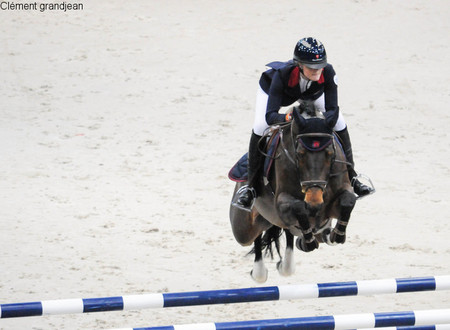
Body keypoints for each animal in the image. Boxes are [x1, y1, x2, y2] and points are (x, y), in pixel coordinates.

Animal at [230, 107, 356, 282]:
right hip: (244, 229)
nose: (314, 203)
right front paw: (309, 240)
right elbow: (298, 206)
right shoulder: (281, 204)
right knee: (256, 238)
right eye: (300, 154)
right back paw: (260, 271)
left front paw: (337, 235)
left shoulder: (335, 200)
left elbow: (348, 200)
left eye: (330, 153)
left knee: (293, 235)